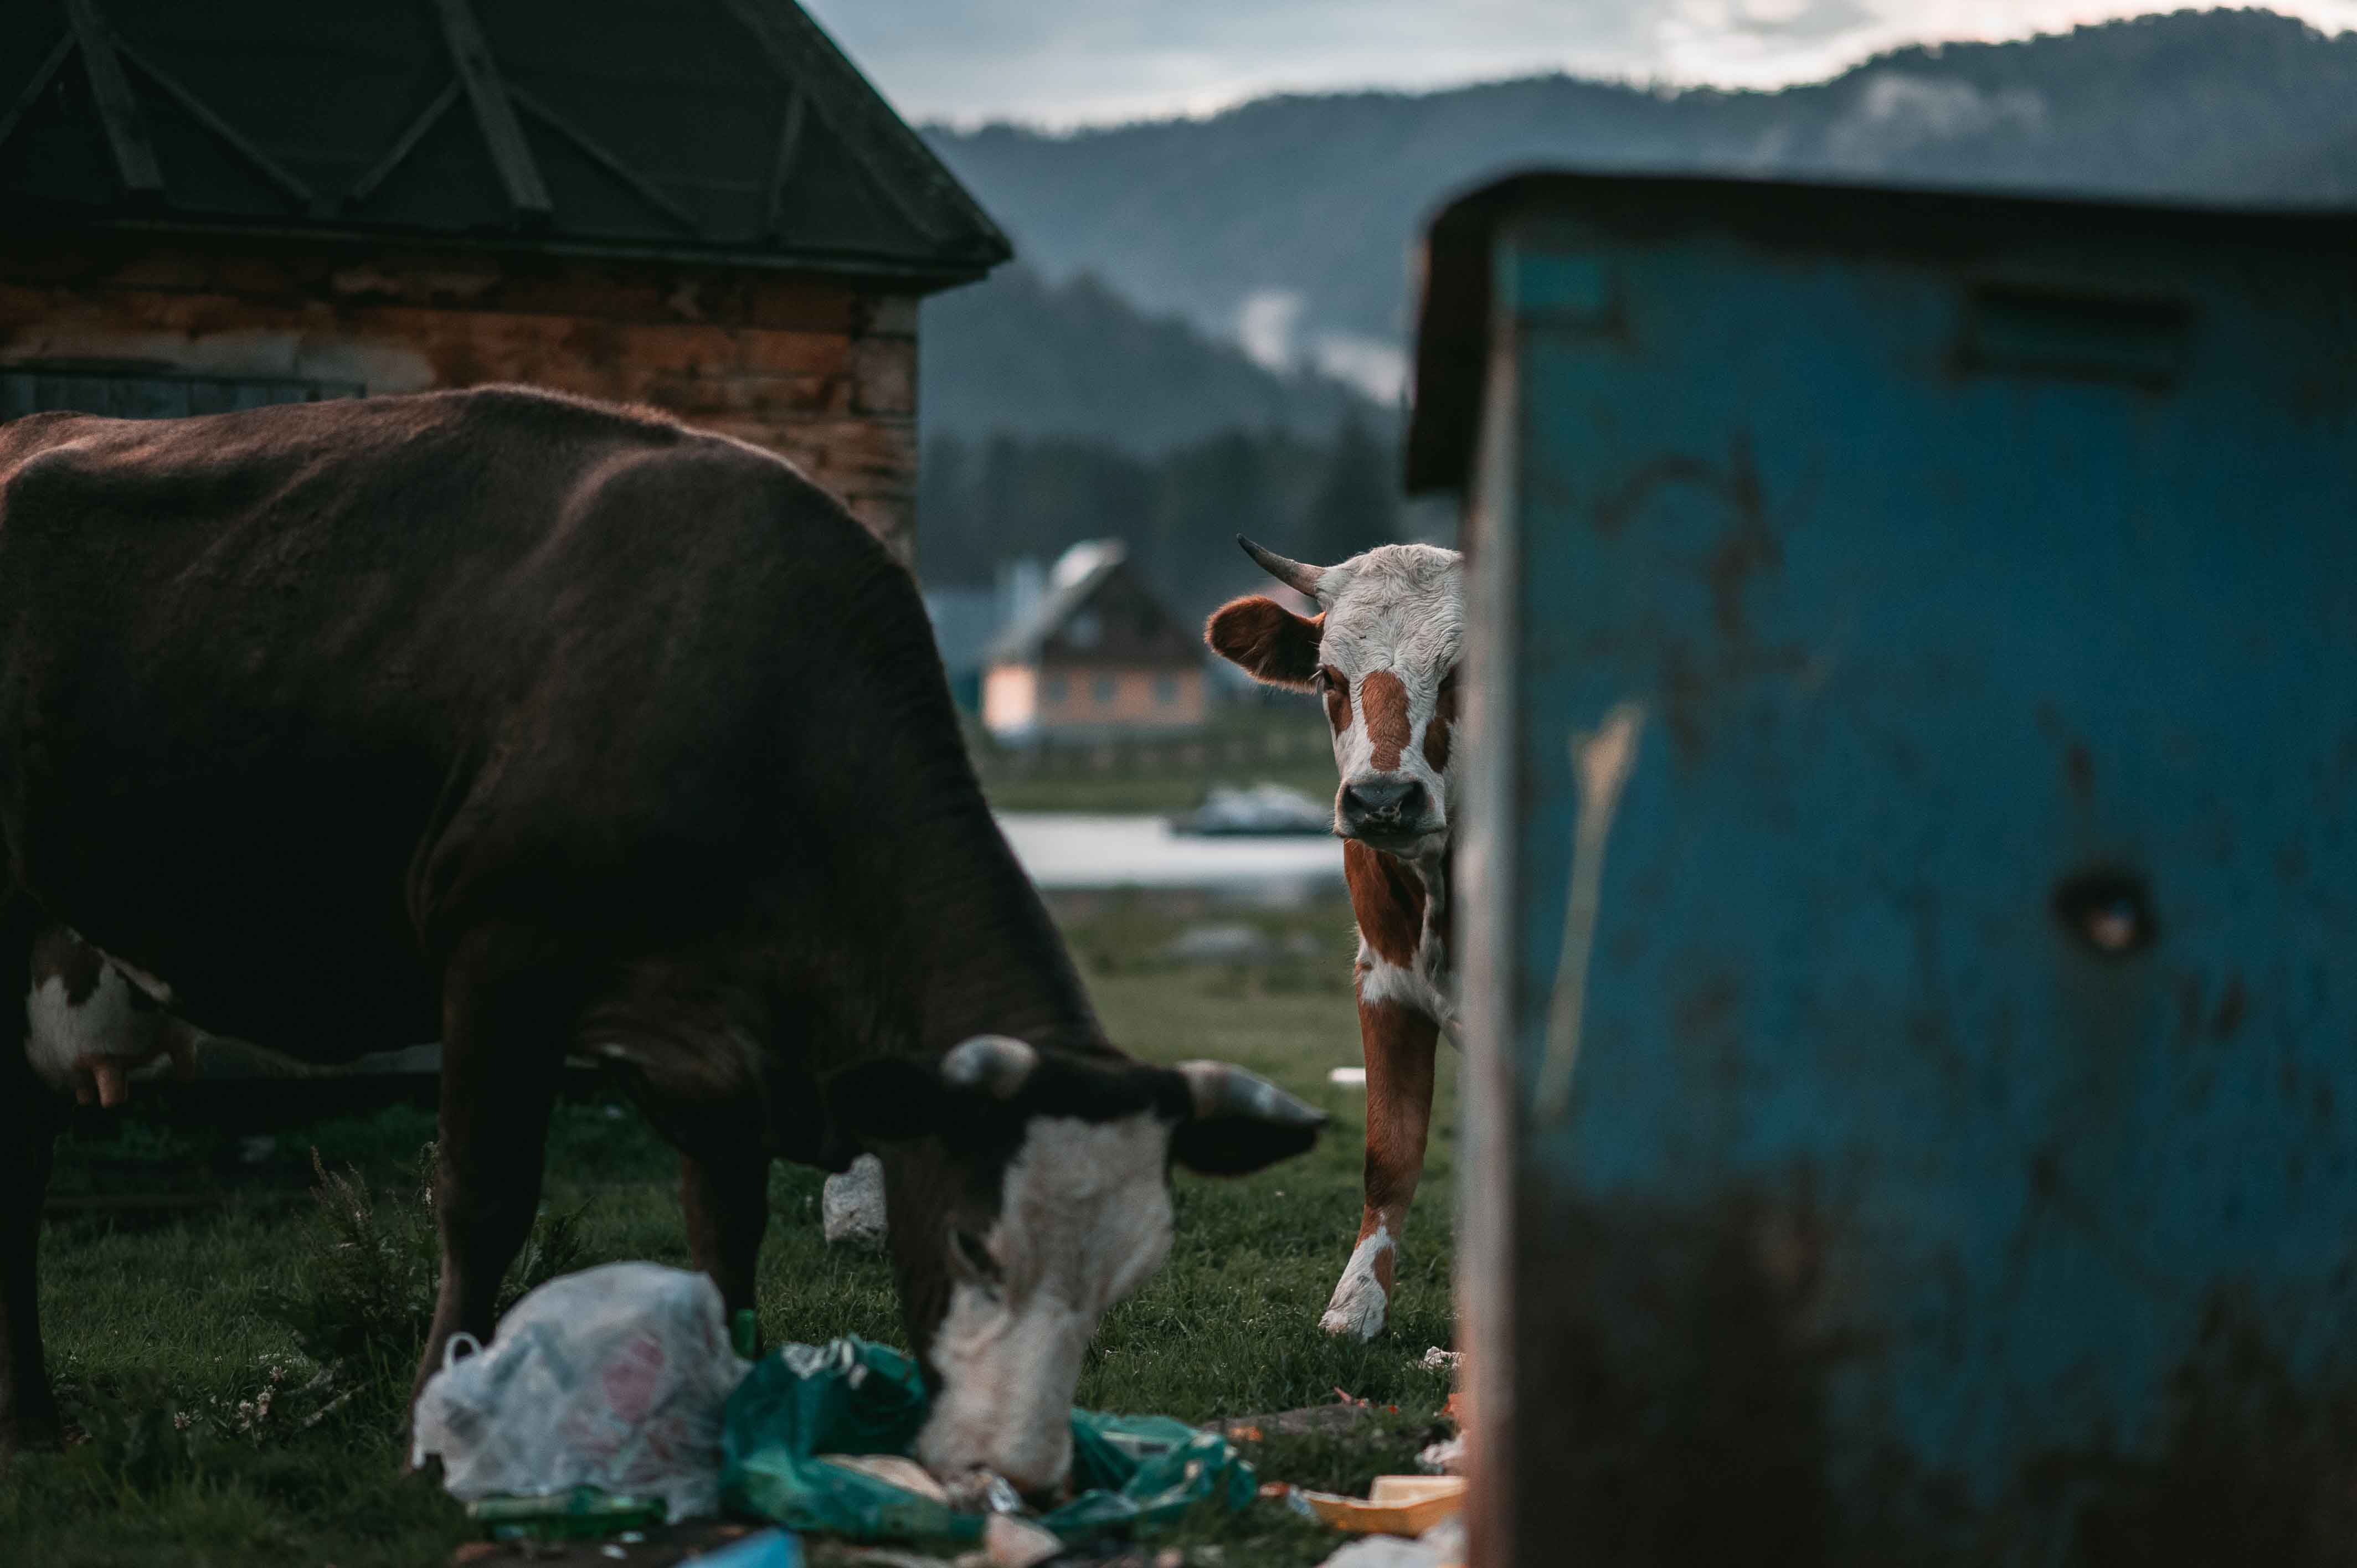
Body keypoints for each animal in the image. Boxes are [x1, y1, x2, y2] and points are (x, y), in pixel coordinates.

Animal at [0, 384, 1329, 1490]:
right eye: (972, 1241)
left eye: (1127, 1278)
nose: (1025, 1474)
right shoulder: (499, 952)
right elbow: (483, 1198)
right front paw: (432, 1437)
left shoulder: (718, 1042)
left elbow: (722, 1242)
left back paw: (37, 1423)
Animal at [1207, 535, 1461, 1329]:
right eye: (1328, 675)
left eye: (1460, 671)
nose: (1382, 799)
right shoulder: (1383, 979)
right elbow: (1391, 1153)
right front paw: (1355, 1305)